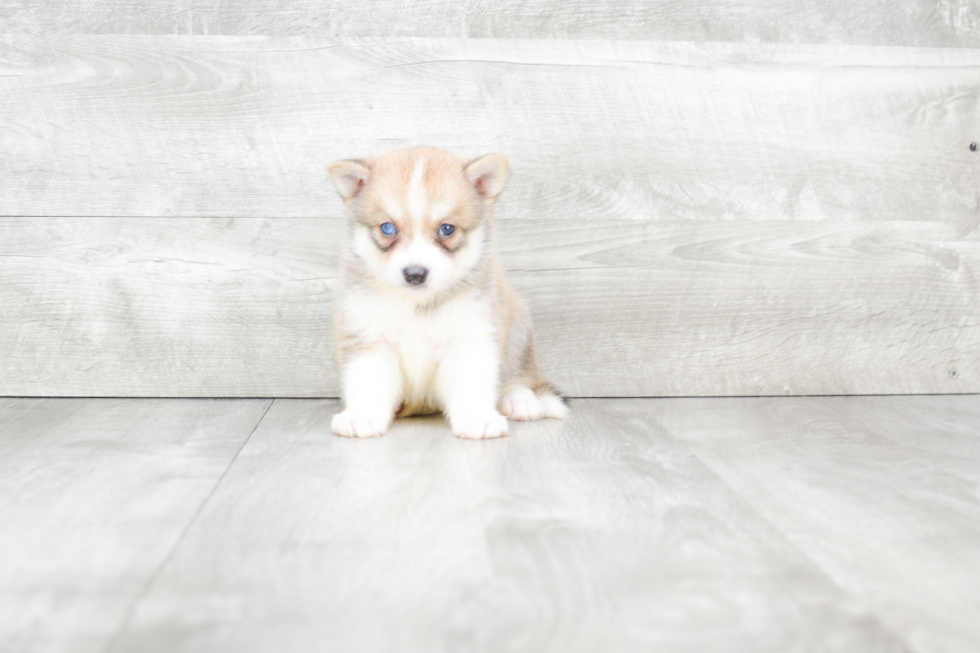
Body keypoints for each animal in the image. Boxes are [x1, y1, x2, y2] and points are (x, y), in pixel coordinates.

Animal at [330, 144, 568, 438]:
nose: (415, 273)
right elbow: (367, 381)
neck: (417, 305)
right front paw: (361, 415)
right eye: (388, 227)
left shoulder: (471, 337)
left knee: (520, 374)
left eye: (447, 229)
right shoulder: (367, 337)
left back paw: (519, 400)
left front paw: (477, 418)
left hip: (518, 329)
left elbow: (472, 383)